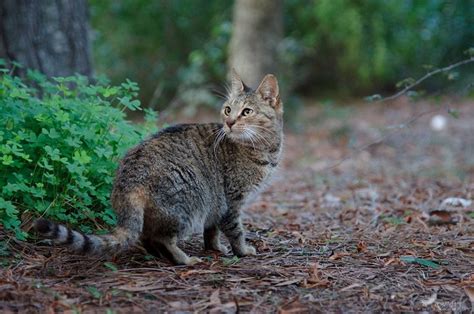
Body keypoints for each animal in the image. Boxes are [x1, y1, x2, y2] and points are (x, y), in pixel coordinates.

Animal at [35, 70, 286, 264]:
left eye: (247, 111)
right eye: (227, 110)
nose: (229, 122)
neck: (265, 148)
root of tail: (128, 179)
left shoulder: (217, 205)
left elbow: (211, 230)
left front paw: (215, 248)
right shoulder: (231, 201)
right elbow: (236, 231)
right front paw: (242, 251)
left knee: (146, 236)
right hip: (189, 203)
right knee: (162, 238)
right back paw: (185, 259)